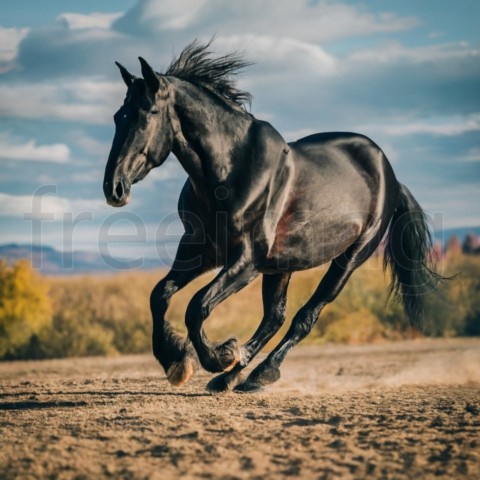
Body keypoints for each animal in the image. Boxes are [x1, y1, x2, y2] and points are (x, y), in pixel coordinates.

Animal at [103, 41, 440, 392]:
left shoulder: (246, 260)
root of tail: (391, 177)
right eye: (118, 116)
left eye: (148, 114)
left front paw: (219, 355)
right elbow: (160, 295)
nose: (114, 188)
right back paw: (235, 375)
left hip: (350, 258)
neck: (229, 170)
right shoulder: (200, 249)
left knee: (304, 317)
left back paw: (257, 372)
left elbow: (197, 306)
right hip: (281, 266)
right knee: (274, 317)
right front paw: (178, 362)